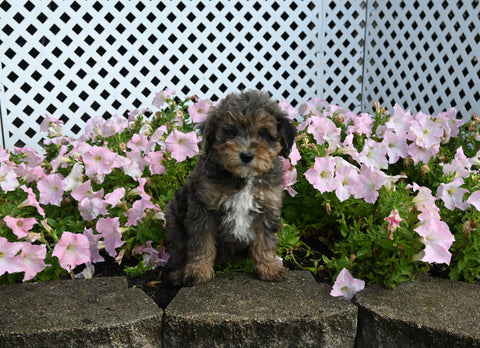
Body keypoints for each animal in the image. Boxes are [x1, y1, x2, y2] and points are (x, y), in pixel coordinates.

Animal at [167, 89, 298, 286]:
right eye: (231, 131)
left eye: (264, 133)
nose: (246, 156)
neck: (243, 178)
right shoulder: (203, 208)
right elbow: (201, 243)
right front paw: (198, 271)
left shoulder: (267, 207)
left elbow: (265, 242)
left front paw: (269, 268)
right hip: (175, 224)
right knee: (178, 250)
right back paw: (177, 274)